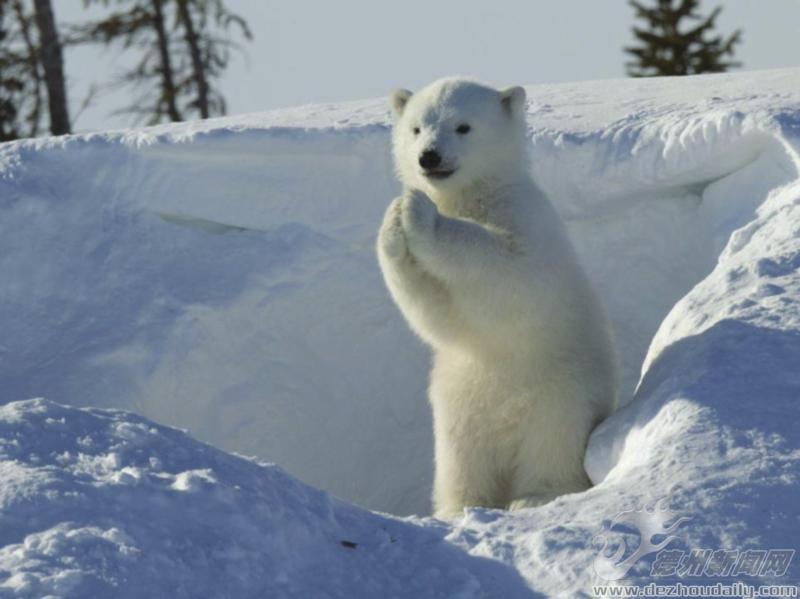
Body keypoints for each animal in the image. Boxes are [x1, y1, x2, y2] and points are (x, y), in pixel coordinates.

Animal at [376, 77, 620, 516]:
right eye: (417, 128)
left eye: (463, 126)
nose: (428, 157)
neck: (472, 195)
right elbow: (437, 314)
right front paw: (394, 221)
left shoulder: (525, 217)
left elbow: (511, 272)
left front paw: (420, 214)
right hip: (460, 405)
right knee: (461, 460)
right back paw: (460, 507)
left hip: (561, 391)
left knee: (552, 444)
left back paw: (534, 495)